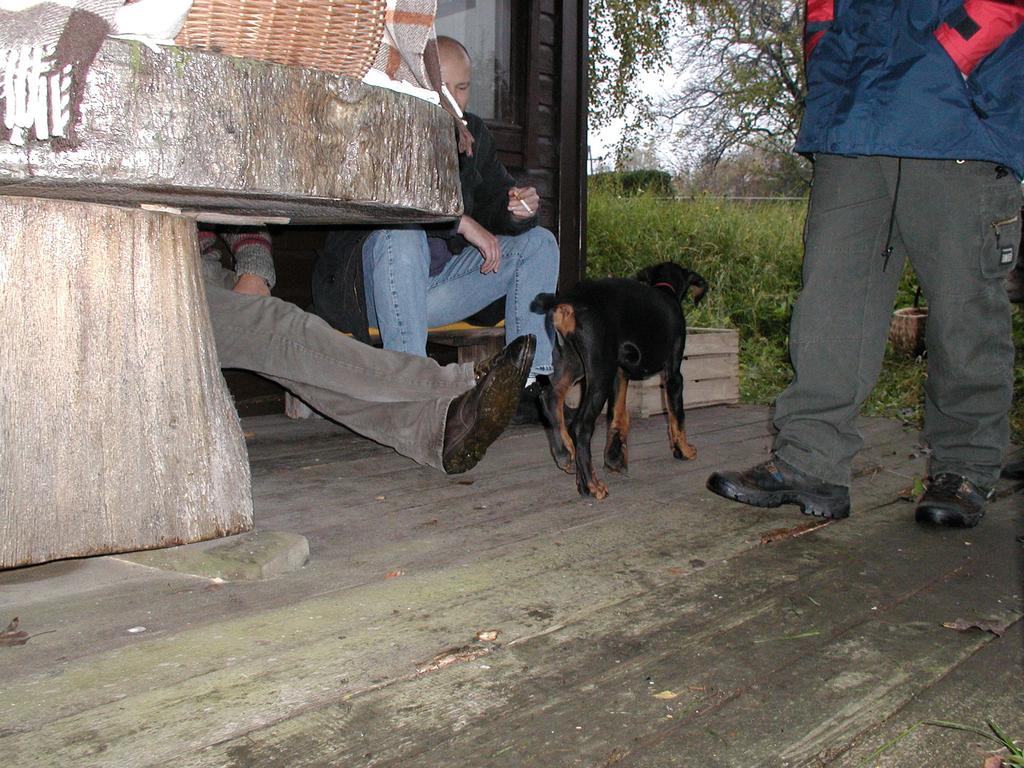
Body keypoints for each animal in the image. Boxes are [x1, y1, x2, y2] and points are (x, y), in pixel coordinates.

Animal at [531, 262, 708, 499]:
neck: (666, 289)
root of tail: (572, 300)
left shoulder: (620, 372)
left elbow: (619, 416)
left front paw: (614, 459)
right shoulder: (673, 374)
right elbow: (677, 416)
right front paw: (684, 450)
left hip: (572, 362)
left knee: (551, 398)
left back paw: (565, 454)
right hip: (599, 373)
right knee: (581, 425)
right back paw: (591, 485)